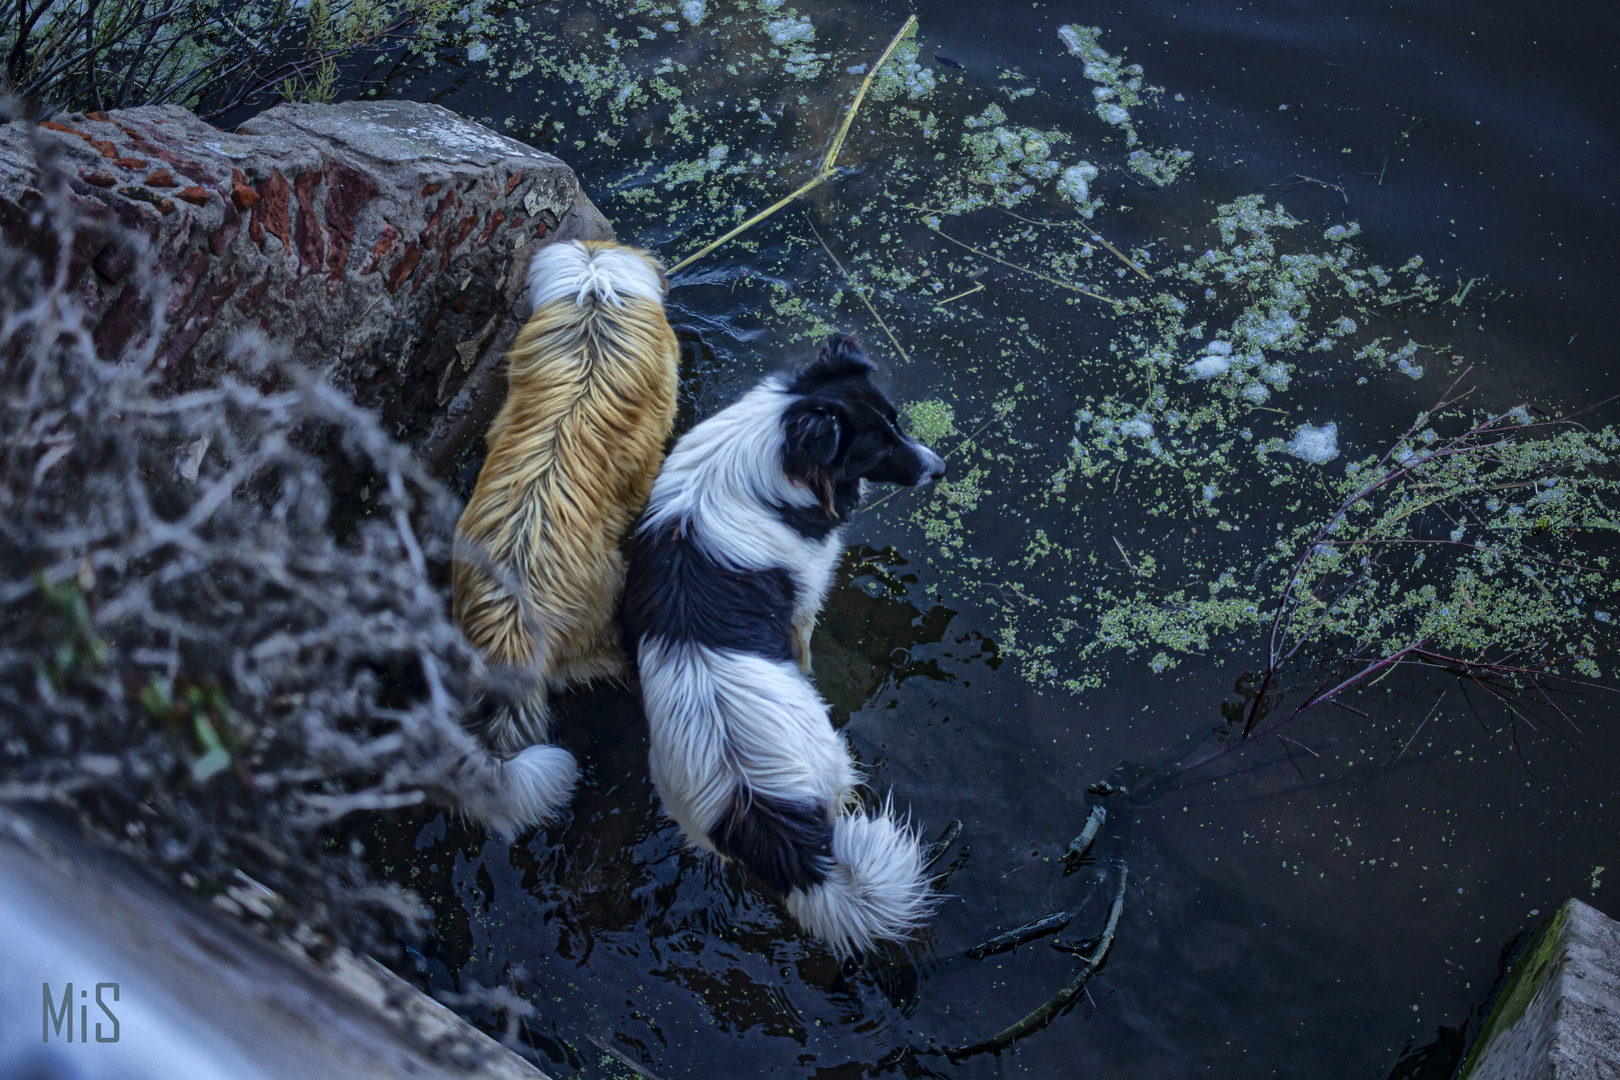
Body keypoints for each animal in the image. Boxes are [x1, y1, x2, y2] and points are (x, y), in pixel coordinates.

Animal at [622, 331, 946, 952]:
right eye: (877, 447)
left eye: (896, 421)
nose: (939, 469)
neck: (770, 442)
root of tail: (763, 812)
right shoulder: (804, 601)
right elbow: (805, 645)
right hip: (833, 763)